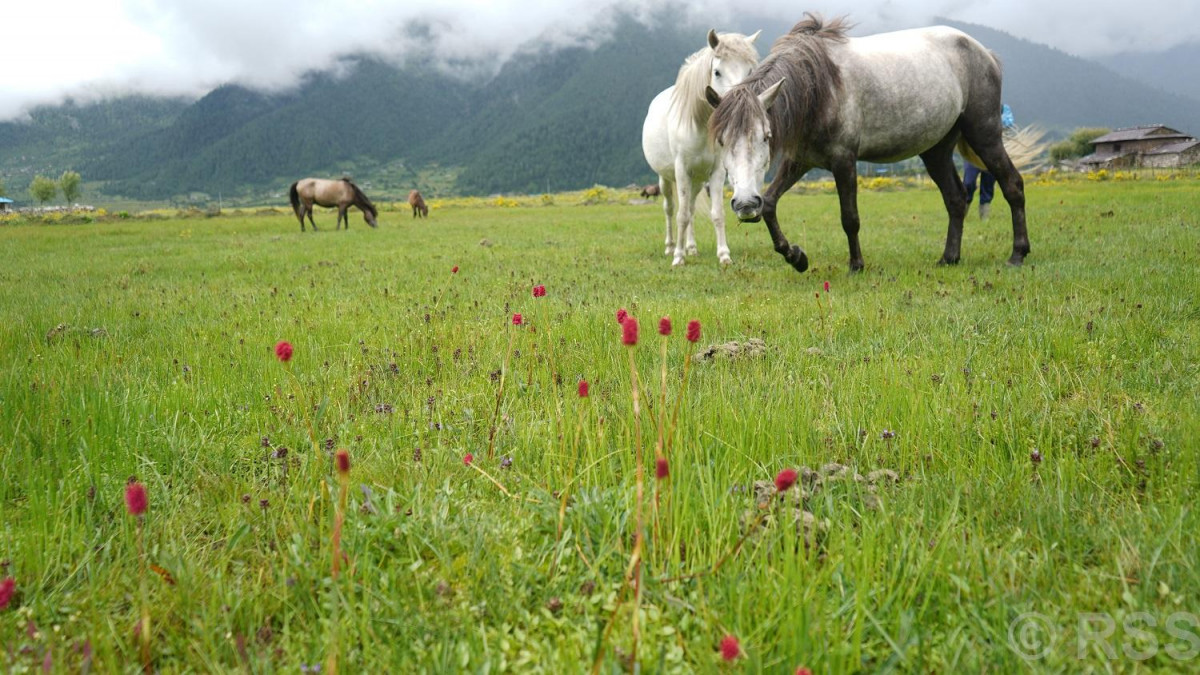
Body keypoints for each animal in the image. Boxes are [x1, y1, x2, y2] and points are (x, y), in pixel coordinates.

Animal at [643, 28, 753, 265]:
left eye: (750, 71)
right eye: (717, 72)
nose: (739, 106)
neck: (700, 126)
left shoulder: (717, 172)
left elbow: (716, 214)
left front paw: (724, 255)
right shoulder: (682, 170)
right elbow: (681, 215)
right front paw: (678, 258)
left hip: (697, 181)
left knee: (691, 208)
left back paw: (691, 247)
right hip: (666, 178)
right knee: (670, 208)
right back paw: (671, 247)